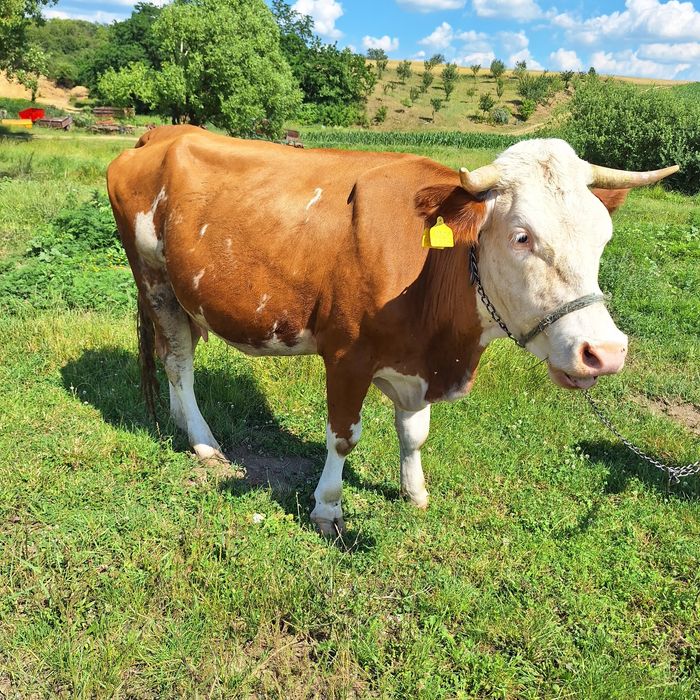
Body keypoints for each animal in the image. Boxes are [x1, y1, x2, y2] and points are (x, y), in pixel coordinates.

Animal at [106, 125, 677, 534]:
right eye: (522, 236)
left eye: (603, 236)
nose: (604, 351)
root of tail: (165, 133)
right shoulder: (345, 356)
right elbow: (343, 437)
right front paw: (328, 508)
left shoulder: (416, 363)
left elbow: (414, 432)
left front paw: (414, 492)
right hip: (154, 279)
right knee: (178, 361)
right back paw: (204, 442)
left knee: (174, 356)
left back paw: (182, 423)